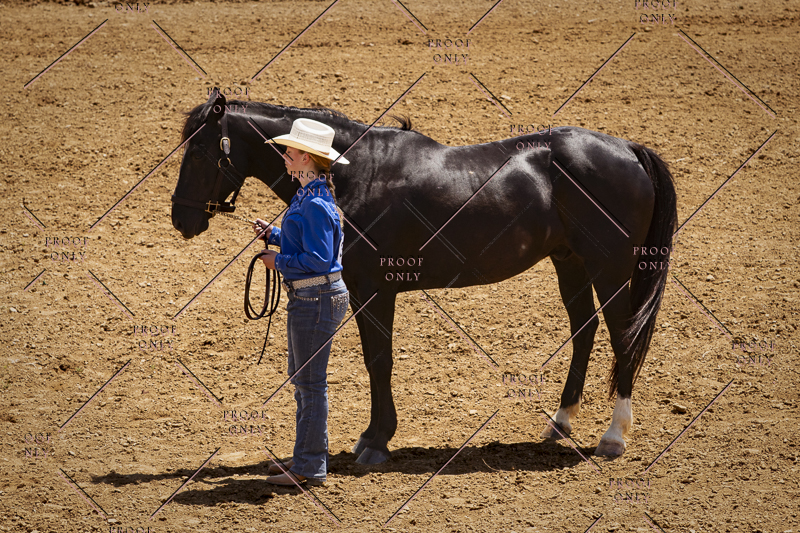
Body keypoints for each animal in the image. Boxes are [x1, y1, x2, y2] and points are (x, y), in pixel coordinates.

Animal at [171, 89, 677, 464]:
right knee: (584, 330)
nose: (182, 219)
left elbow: (379, 361)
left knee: (622, 336)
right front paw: (374, 436)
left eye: (199, 151)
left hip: (609, 269)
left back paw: (614, 436)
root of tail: (628, 150)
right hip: (569, 261)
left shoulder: (375, 291)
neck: (358, 173)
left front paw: (376, 442)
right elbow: (375, 361)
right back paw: (562, 419)